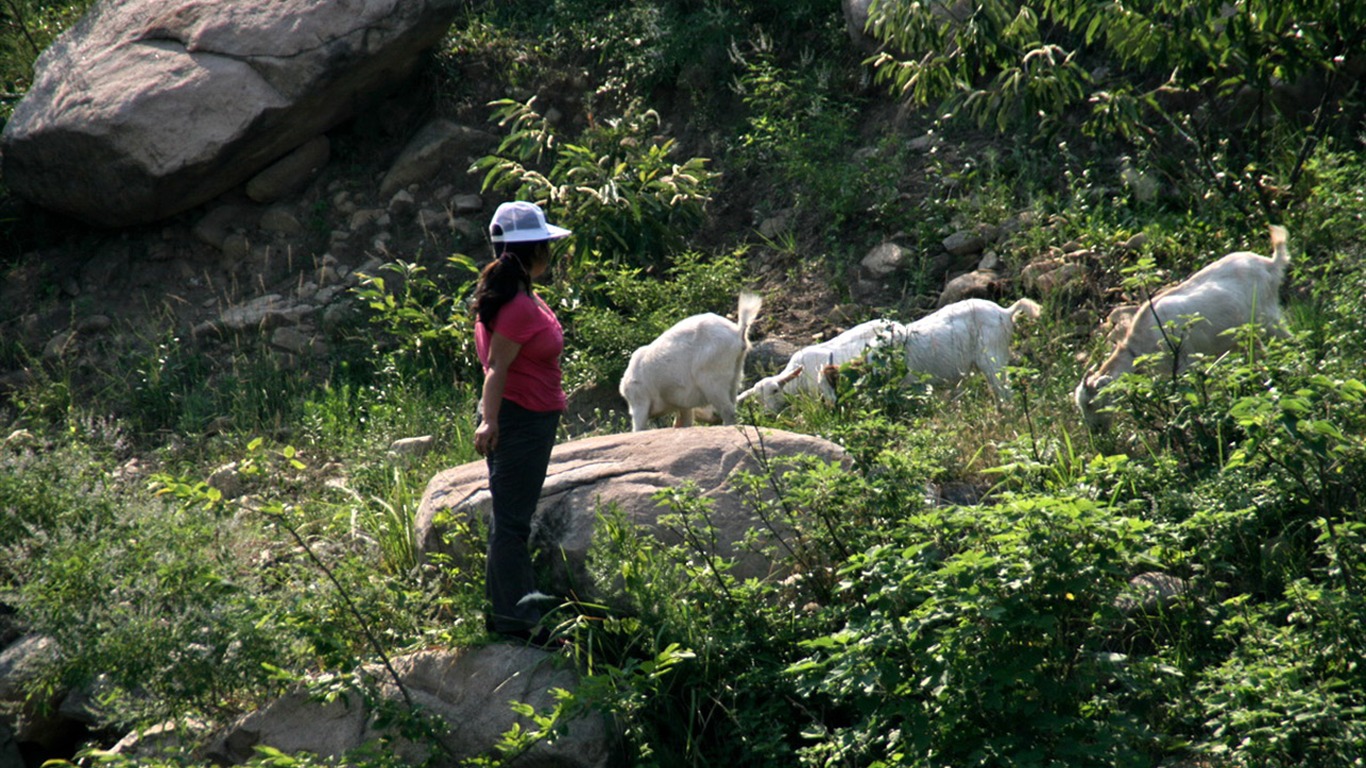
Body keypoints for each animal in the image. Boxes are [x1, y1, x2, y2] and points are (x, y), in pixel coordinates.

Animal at [622, 288, 764, 426]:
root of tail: (738, 333)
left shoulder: (640, 401)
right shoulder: (683, 405)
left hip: (712, 378)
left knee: (727, 410)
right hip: (735, 376)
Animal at [1076, 222, 1289, 431]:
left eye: (1090, 403)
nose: (1096, 431)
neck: (1139, 345)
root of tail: (1270, 264)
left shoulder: (1185, 361)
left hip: (1268, 317)